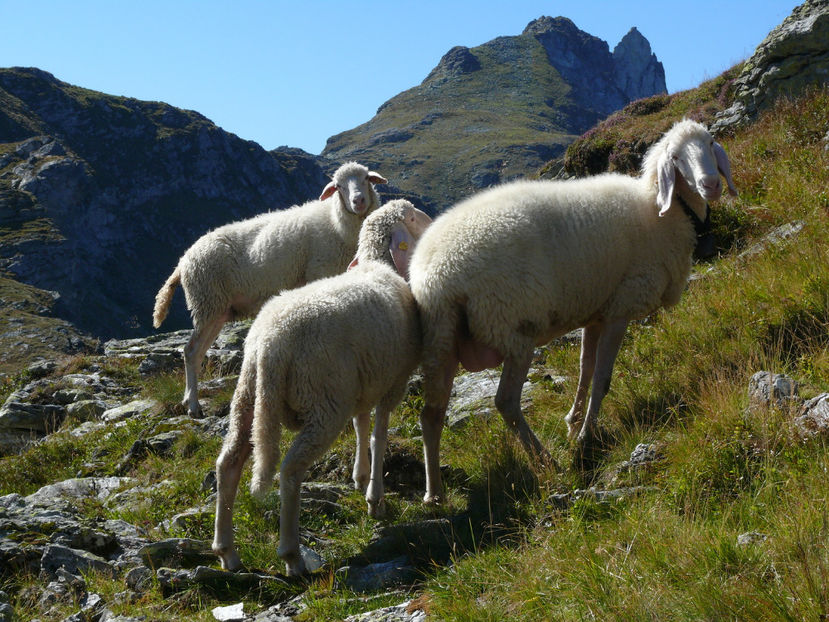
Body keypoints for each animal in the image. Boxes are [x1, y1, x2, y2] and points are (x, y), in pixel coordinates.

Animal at [151, 163, 384, 420]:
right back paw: (193, 405)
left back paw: (189, 400)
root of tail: (183, 261)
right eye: (339, 186)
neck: (336, 223)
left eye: (366, 178)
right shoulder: (320, 273)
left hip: (217, 309)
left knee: (198, 352)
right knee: (191, 351)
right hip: (207, 301)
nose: (358, 200)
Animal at [212, 202, 434, 576]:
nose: (433, 221)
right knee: (290, 470)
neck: (379, 264)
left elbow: (361, 426)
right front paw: (375, 499)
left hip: (248, 398)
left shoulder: (364, 381)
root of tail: (271, 344)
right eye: (413, 217)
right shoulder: (393, 382)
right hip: (323, 403)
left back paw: (227, 552)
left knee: (229, 462)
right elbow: (379, 435)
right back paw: (292, 556)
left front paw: (359, 477)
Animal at [408, 118, 736, 508]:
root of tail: (434, 275)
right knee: (505, 402)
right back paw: (543, 460)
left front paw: (573, 423)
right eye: (675, 157)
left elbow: (584, 372)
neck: (662, 213)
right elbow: (602, 378)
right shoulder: (622, 306)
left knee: (431, 415)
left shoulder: (597, 311)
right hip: (514, 326)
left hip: (440, 341)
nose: (711, 183)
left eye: (711, 142)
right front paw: (584, 438)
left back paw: (434, 493)